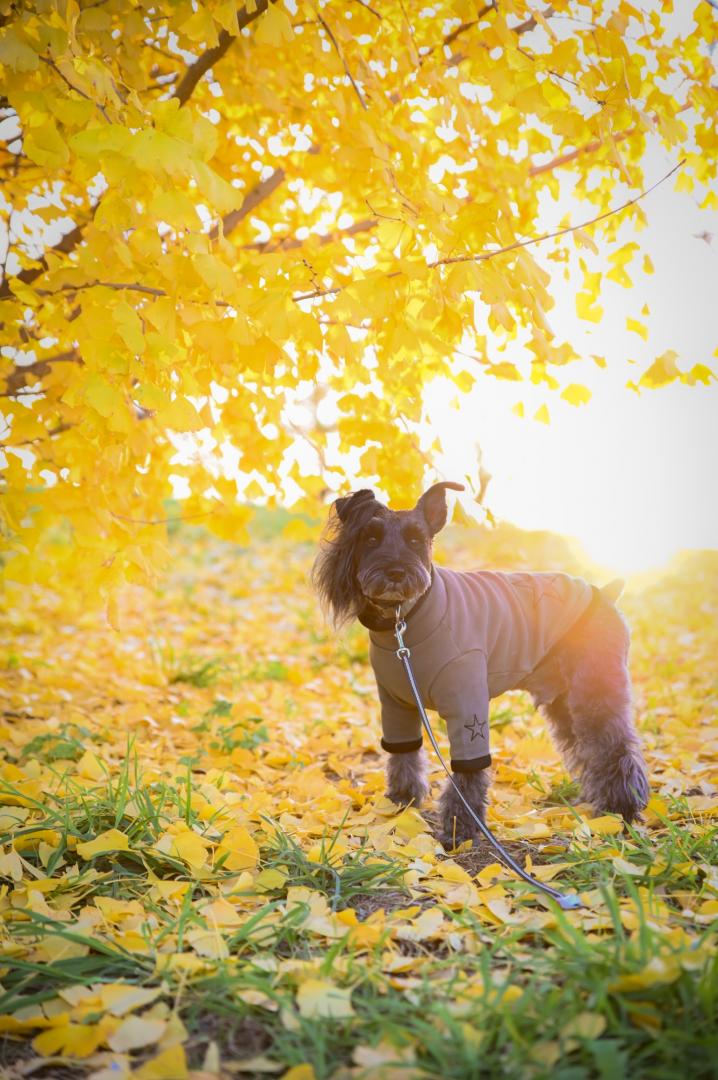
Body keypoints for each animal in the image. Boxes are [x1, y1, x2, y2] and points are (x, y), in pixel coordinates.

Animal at [310, 486, 647, 846]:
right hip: (564, 702)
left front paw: (460, 829)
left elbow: (468, 771)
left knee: (615, 749)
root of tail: (605, 593)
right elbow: (403, 753)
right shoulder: (397, 705)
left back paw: (621, 809)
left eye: (416, 540)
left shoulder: (467, 709)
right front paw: (401, 801)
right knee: (588, 750)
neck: (405, 620)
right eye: (370, 538)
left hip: (596, 695)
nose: (396, 573)